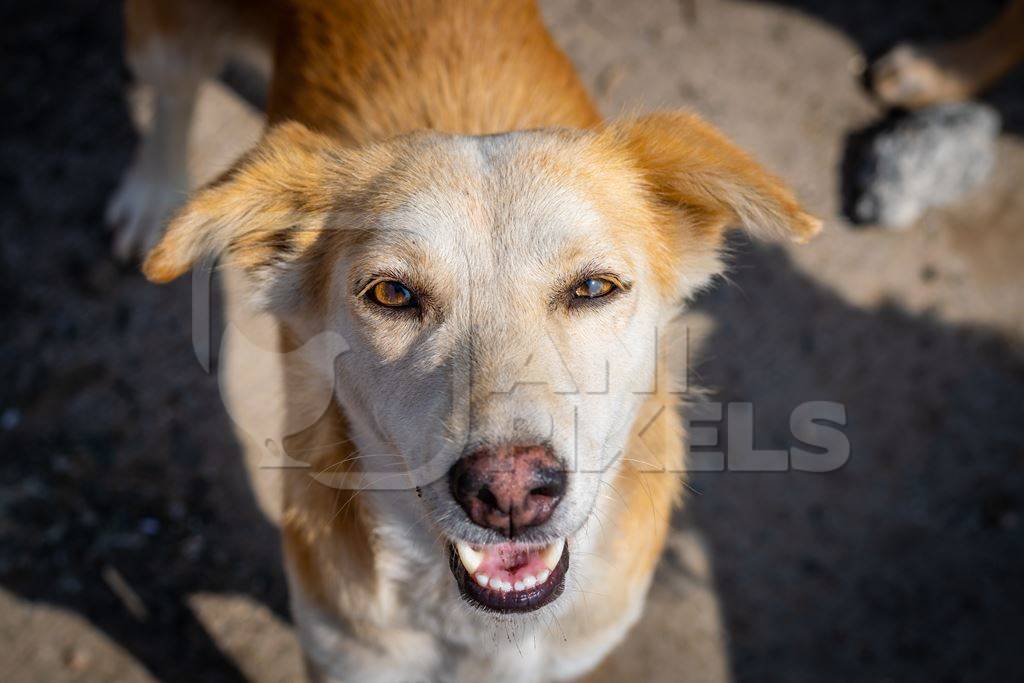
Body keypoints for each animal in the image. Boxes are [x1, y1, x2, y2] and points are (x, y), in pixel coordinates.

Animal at [112, 1, 819, 683]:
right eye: (392, 294)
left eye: (594, 286)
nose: (509, 493)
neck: (480, 630)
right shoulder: (342, 654)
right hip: (168, 34)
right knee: (172, 92)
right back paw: (153, 198)